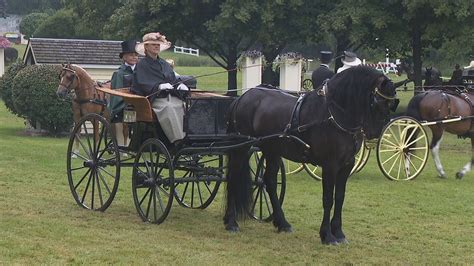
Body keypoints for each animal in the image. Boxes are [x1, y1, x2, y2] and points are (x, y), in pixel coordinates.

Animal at [224, 66, 398, 245]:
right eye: (376, 101)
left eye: (392, 103)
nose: (374, 134)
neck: (333, 114)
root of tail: (242, 97)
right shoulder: (330, 165)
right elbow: (328, 199)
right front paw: (327, 235)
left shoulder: (346, 165)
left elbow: (340, 197)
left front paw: (339, 232)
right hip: (242, 148)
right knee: (233, 178)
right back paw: (231, 222)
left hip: (272, 150)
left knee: (269, 181)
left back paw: (282, 223)